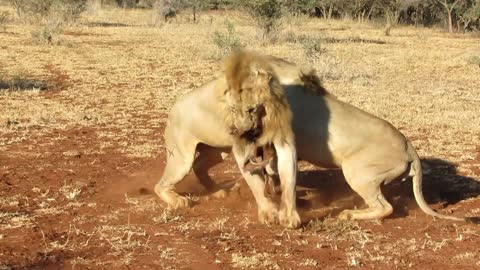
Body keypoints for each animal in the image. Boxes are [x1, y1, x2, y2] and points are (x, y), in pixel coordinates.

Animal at [155, 50, 472, 228]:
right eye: (233, 108)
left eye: (251, 109)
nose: (236, 130)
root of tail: (410, 146)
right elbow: (268, 178)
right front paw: (272, 205)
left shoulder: (281, 142)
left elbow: (283, 177)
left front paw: (285, 213)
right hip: (195, 153)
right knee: (185, 172)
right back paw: (203, 195)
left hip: (358, 173)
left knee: (387, 207)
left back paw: (349, 215)